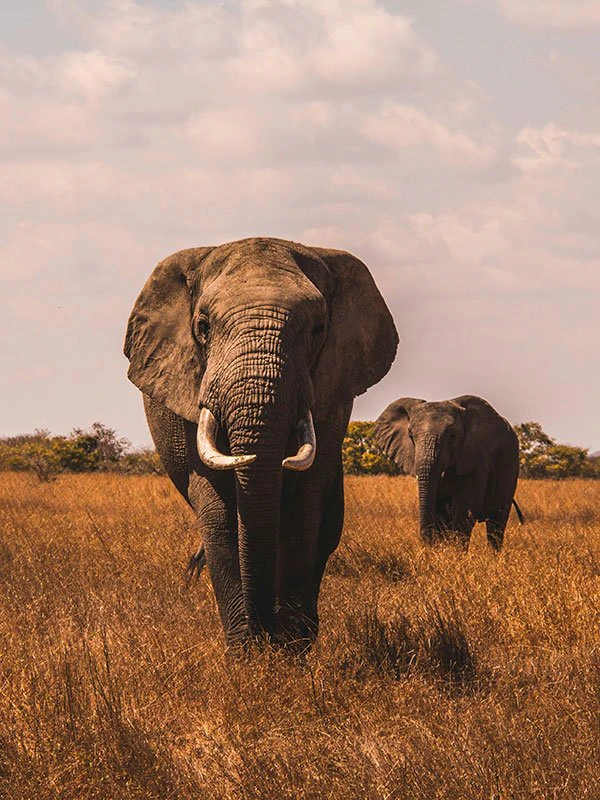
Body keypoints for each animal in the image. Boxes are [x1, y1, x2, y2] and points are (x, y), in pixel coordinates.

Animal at [124, 237, 398, 649]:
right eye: (203, 327)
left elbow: (303, 509)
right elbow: (219, 513)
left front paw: (290, 649)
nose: (264, 632)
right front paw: (247, 652)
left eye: (318, 328)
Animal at [373, 395, 522, 550]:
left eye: (452, 436)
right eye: (410, 436)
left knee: (496, 522)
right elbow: (440, 511)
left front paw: (457, 553)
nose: (427, 545)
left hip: (510, 465)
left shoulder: (477, 457)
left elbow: (465, 509)